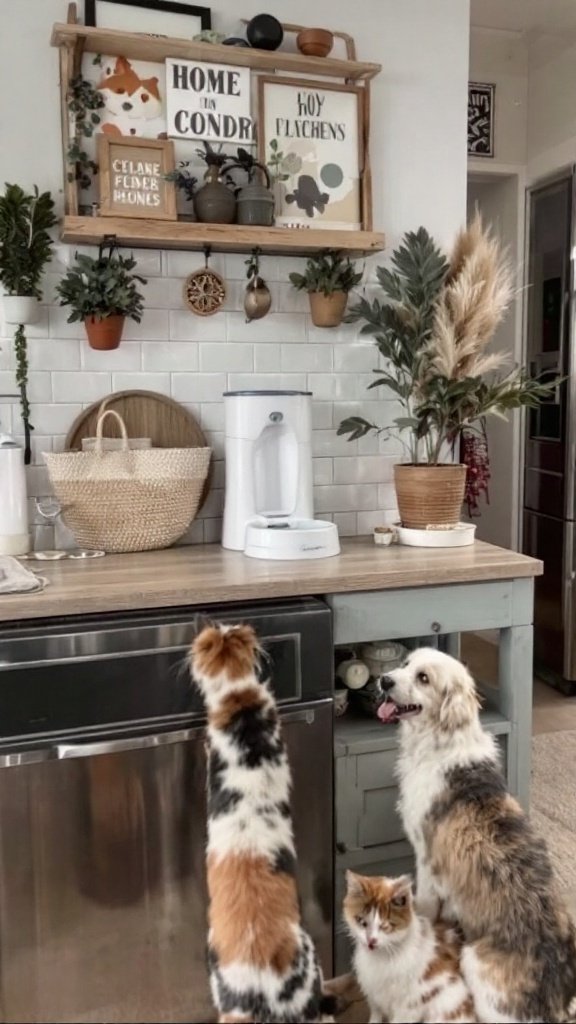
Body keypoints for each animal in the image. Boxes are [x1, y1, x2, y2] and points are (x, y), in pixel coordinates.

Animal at [342, 872, 473, 1024]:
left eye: (385, 926)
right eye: (362, 922)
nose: (371, 941)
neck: (382, 956)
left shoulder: (410, 1003)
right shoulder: (372, 992)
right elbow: (376, 1014)